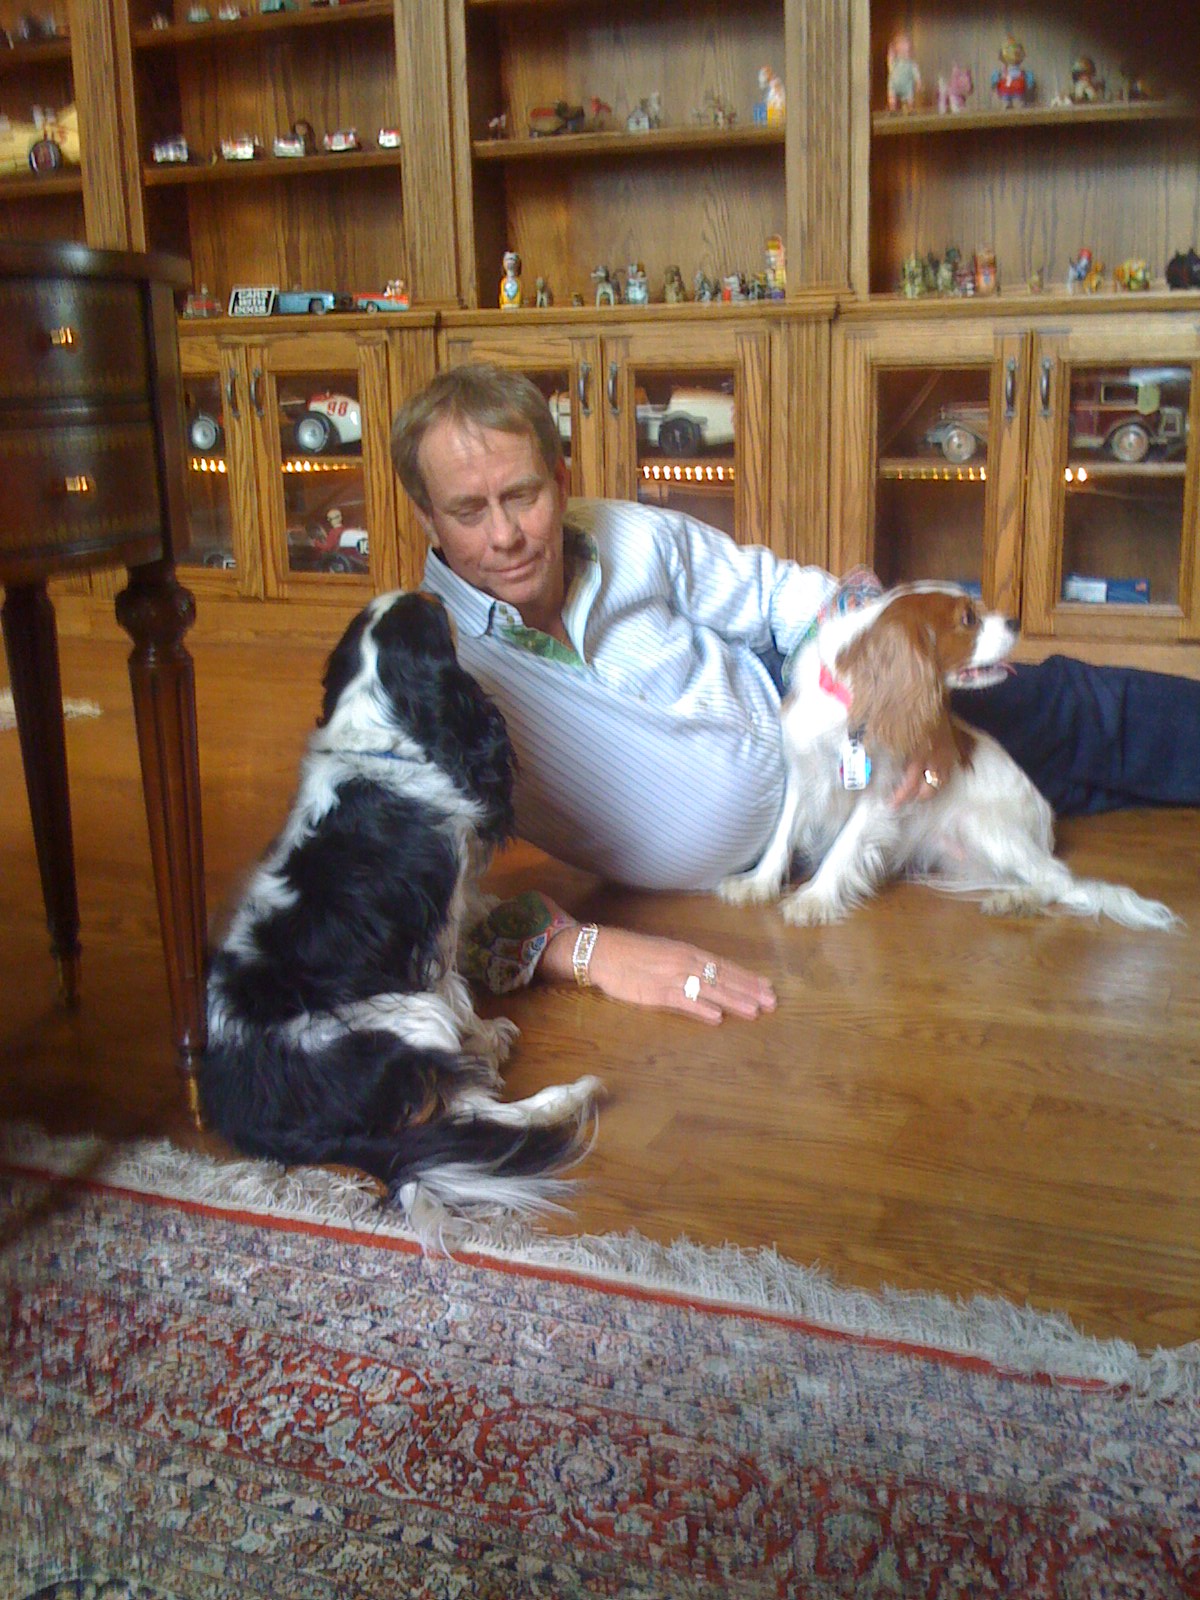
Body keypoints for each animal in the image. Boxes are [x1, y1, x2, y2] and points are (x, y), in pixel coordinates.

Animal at [200, 590, 601, 1238]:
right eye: (434, 621)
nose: (431, 590)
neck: (374, 739)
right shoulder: (438, 932)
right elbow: (456, 988)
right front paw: (486, 1033)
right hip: (409, 1017)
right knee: (474, 1110)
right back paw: (570, 1094)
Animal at [718, 583, 1176, 930]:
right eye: (968, 619)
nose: (1015, 620)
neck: (857, 702)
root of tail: (1046, 823)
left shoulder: (885, 795)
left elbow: (843, 846)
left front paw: (814, 897)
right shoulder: (804, 774)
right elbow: (782, 835)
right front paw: (757, 884)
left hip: (986, 827)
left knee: (1058, 878)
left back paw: (1018, 899)